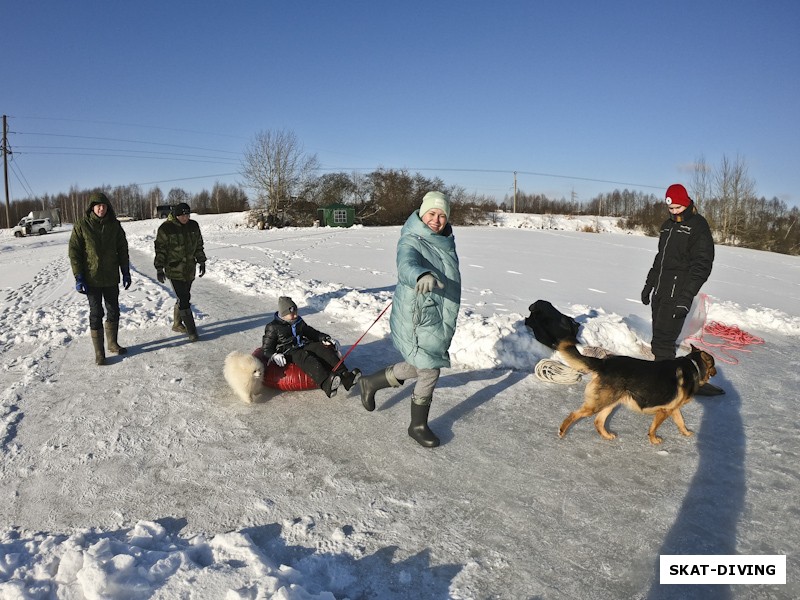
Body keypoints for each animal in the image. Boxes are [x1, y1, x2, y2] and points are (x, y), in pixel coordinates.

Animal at [556, 338, 720, 446]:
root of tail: (604, 363)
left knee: (598, 421)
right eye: (713, 364)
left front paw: (685, 433)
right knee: (574, 414)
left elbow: (681, 422)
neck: (694, 365)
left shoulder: (673, 409)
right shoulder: (665, 411)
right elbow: (653, 428)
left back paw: (607, 436)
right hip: (598, 404)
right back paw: (562, 431)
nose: (717, 372)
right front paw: (654, 440)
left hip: (610, 402)